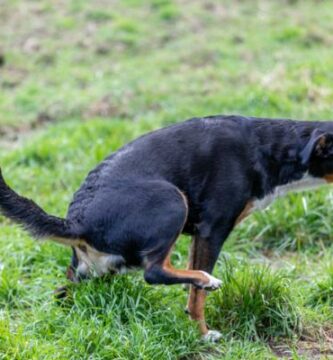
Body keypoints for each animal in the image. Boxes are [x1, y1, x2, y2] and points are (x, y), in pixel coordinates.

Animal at [0, 115, 332, 340]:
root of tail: (78, 220)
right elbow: (196, 298)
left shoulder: (199, 236)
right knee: (154, 272)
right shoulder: (212, 229)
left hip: (90, 274)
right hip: (172, 201)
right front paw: (202, 334)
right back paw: (206, 280)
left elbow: (191, 294)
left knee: (63, 292)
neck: (267, 148)